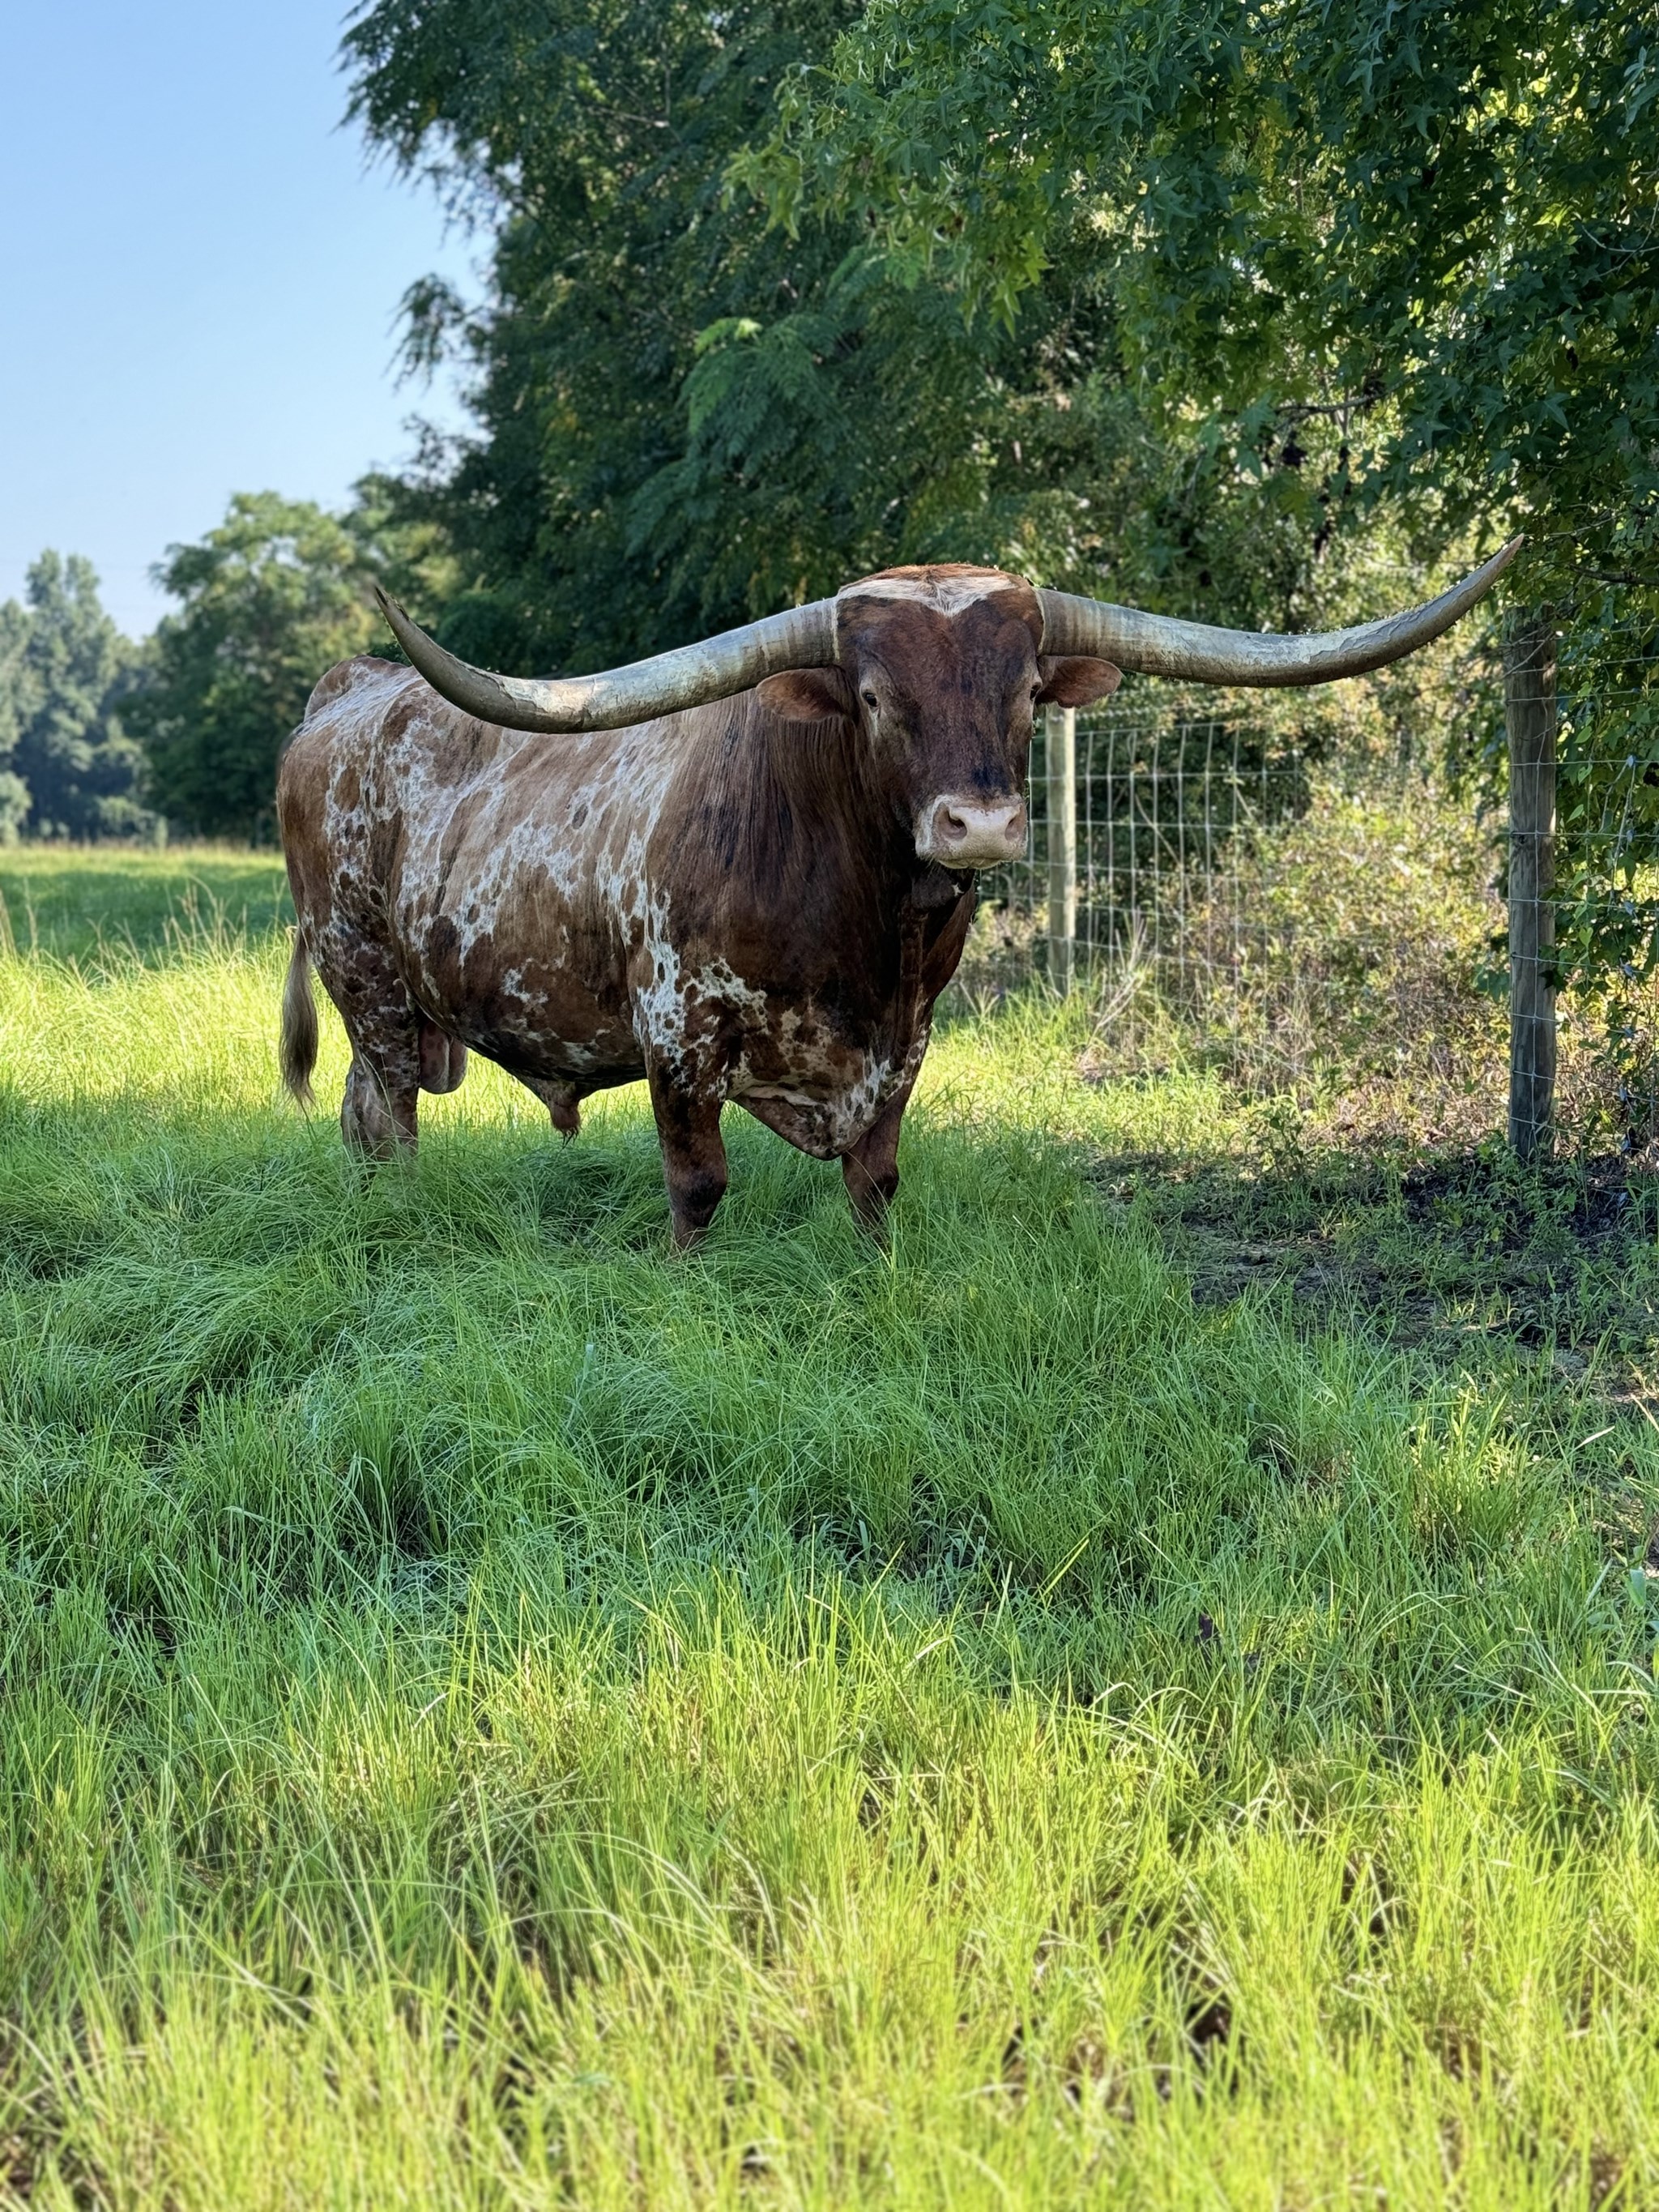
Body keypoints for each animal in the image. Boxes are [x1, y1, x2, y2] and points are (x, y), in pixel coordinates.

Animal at [277, 546, 1519, 1243]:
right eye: (872, 696)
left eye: (1026, 690)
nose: (982, 826)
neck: (864, 935)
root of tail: (349, 689)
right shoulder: (678, 1037)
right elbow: (699, 1187)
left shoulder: (907, 1041)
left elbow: (875, 1183)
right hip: (364, 977)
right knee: (387, 1119)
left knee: (360, 1114)